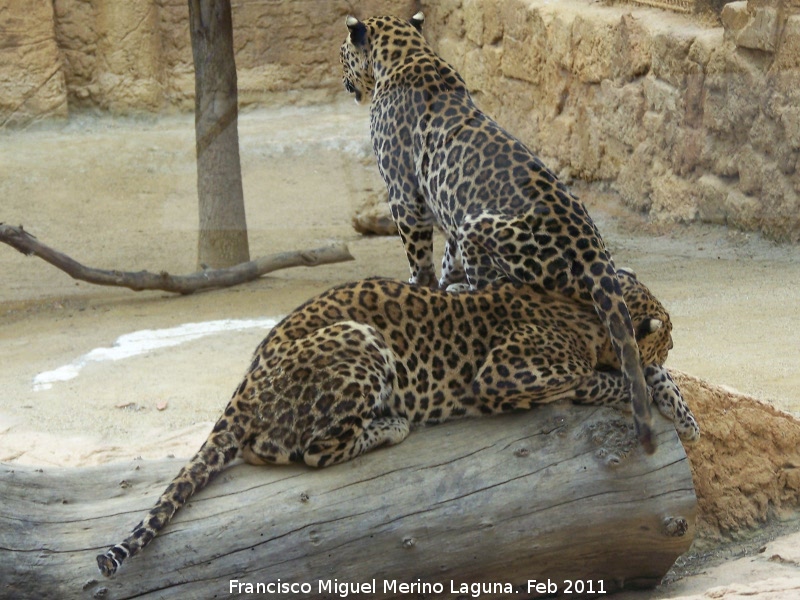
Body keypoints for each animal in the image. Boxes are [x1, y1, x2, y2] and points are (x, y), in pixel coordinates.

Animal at [96, 270, 699, 576]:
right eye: (670, 339)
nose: (671, 348)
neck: (588, 316)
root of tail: (243, 386)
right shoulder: (505, 373)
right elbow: (604, 380)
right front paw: (648, 389)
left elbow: (644, 377)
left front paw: (684, 414)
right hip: (358, 338)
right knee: (299, 449)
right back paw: (391, 424)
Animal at [340, 12, 660, 453]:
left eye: (341, 53)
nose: (342, 80)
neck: (407, 53)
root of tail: (592, 250)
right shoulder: (449, 210)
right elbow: (447, 258)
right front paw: (440, 285)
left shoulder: (405, 197)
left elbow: (419, 258)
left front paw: (420, 286)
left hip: (483, 229)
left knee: (496, 288)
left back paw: (465, 294)